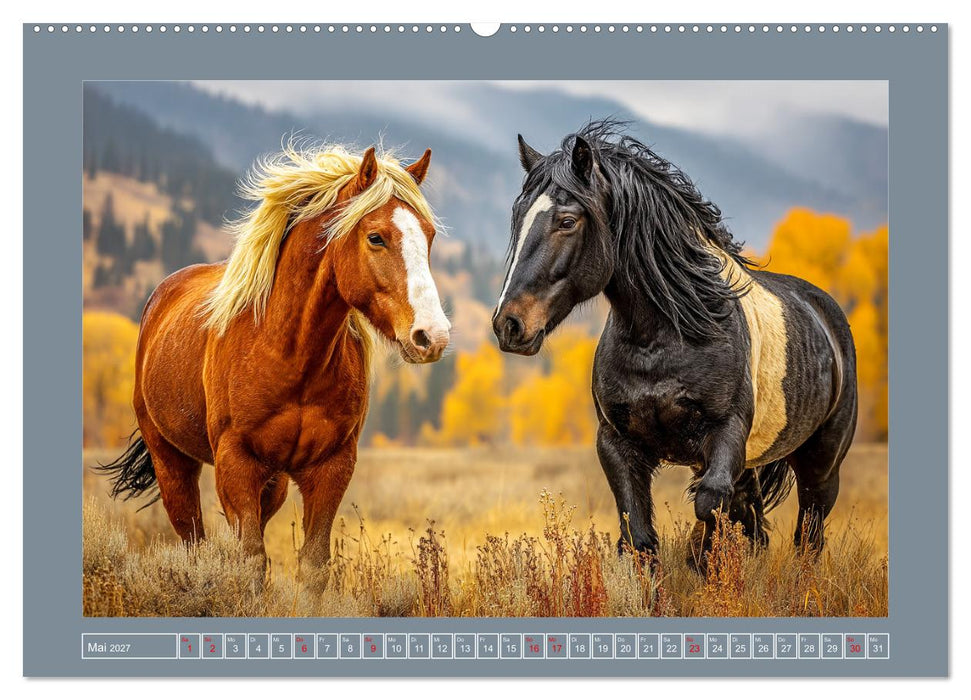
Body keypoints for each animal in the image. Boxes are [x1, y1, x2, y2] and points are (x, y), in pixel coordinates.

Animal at [99, 143, 450, 591]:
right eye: (376, 237)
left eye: (429, 235)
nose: (432, 335)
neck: (290, 355)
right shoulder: (236, 463)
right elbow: (251, 561)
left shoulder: (331, 466)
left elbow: (312, 565)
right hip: (172, 463)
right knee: (193, 539)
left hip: (275, 482)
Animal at [493, 120, 858, 570]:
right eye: (518, 218)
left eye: (566, 221)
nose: (509, 325)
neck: (662, 340)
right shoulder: (616, 444)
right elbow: (640, 537)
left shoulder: (725, 434)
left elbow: (709, 503)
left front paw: (698, 556)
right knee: (756, 521)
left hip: (821, 467)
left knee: (808, 535)